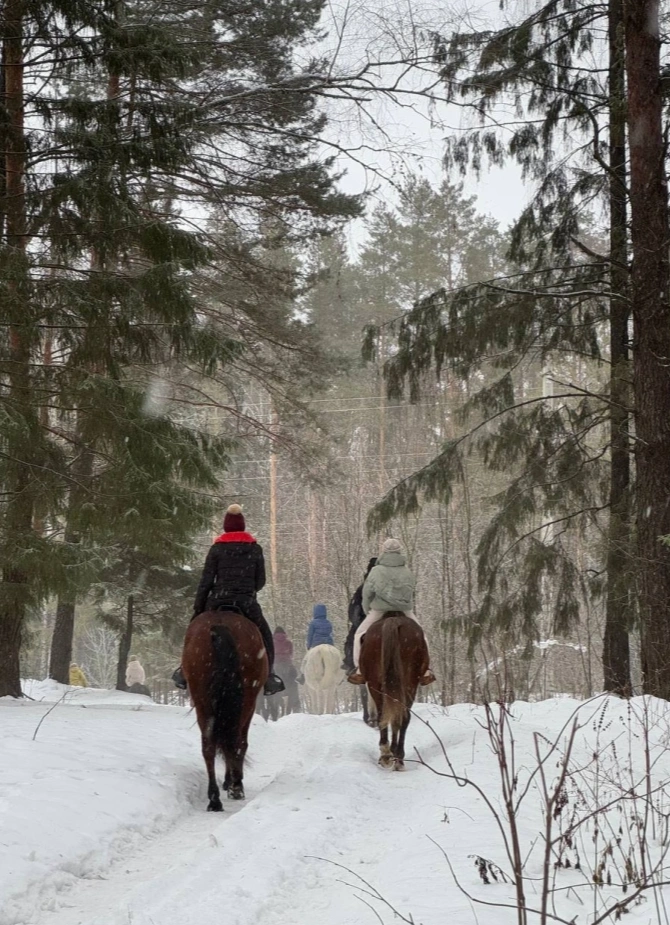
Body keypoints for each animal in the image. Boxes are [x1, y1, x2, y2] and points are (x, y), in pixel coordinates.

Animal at [184, 608, 270, 812]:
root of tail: (220, 625)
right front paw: (232, 782)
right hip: (246, 702)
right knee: (236, 741)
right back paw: (235, 787)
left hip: (202, 701)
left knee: (209, 745)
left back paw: (214, 799)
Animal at [362, 608, 430, 768]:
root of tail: (393, 621)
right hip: (409, 684)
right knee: (402, 716)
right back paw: (397, 757)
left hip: (377, 685)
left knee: (385, 715)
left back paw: (388, 754)